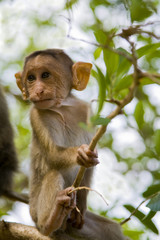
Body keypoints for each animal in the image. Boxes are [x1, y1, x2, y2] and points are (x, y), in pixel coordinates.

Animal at [15, 49, 125, 240]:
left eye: (45, 75)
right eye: (31, 78)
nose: (38, 90)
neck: (62, 108)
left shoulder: (86, 111)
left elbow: (89, 166)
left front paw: (81, 205)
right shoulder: (36, 114)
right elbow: (53, 155)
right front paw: (79, 153)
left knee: (113, 230)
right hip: (35, 211)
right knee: (53, 174)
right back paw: (50, 220)